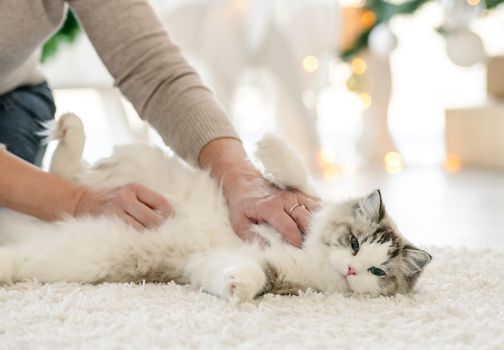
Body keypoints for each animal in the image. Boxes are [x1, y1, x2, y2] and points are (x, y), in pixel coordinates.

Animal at [0, 113, 432, 302]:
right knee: (66, 170)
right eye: (355, 244)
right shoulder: (301, 201)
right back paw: (68, 125)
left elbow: (250, 275)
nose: (352, 269)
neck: (312, 256)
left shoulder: (259, 267)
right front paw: (269, 143)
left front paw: (237, 287)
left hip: (77, 254)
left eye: (376, 271)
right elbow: (296, 173)